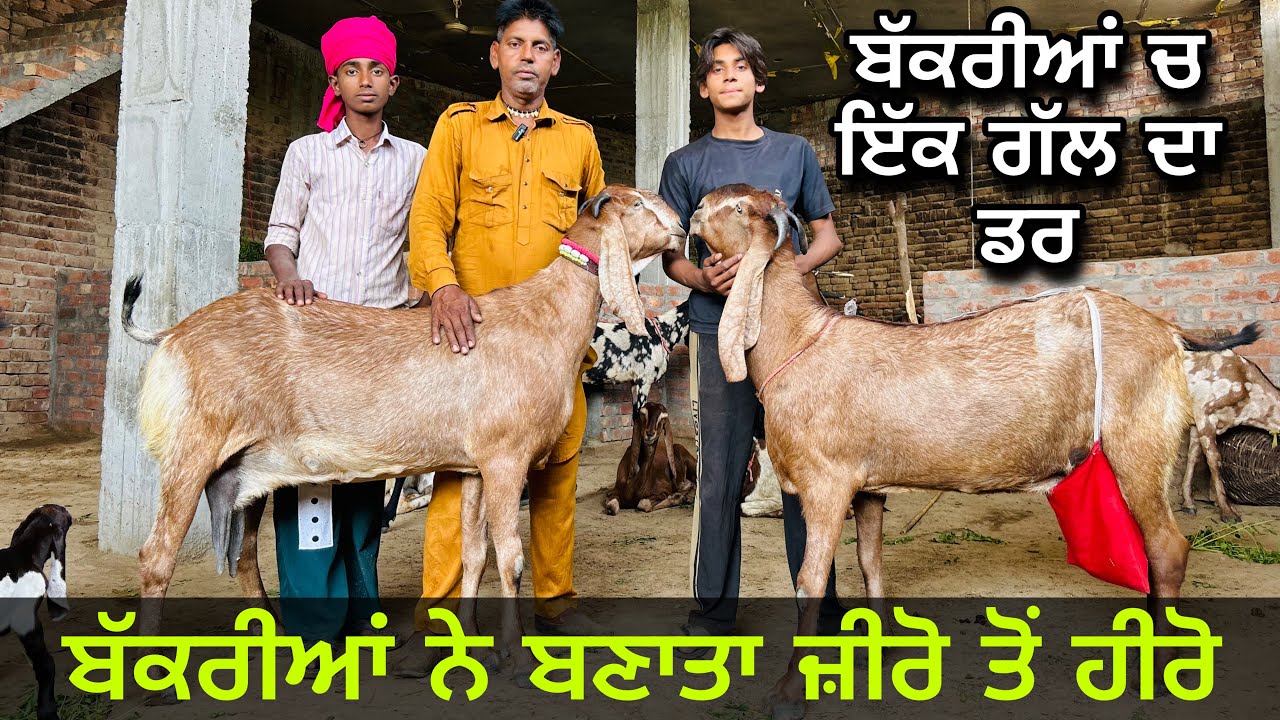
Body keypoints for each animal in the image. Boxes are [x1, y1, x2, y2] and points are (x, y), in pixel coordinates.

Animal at [119, 186, 685, 675]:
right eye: (637, 204)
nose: (681, 226)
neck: (544, 319)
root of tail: (172, 334)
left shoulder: (475, 466)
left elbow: (474, 555)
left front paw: (469, 643)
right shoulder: (506, 458)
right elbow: (510, 557)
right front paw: (513, 653)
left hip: (245, 472)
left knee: (241, 557)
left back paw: (278, 639)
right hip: (192, 450)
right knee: (156, 555)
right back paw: (153, 671)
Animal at [688, 185, 1258, 718]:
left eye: (737, 207)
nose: (690, 214)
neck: (797, 341)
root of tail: (1169, 330)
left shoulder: (825, 483)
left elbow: (809, 580)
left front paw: (789, 692)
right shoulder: (867, 486)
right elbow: (871, 562)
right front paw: (881, 651)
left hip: (1137, 445)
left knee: (1167, 550)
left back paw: (1161, 667)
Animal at [1179, 335, 1277, 522]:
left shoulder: (1196, 421)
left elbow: (1193, 457)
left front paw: (1188, 503)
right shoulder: (1204, 413)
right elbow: (1214, 459)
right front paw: (1228, 512)